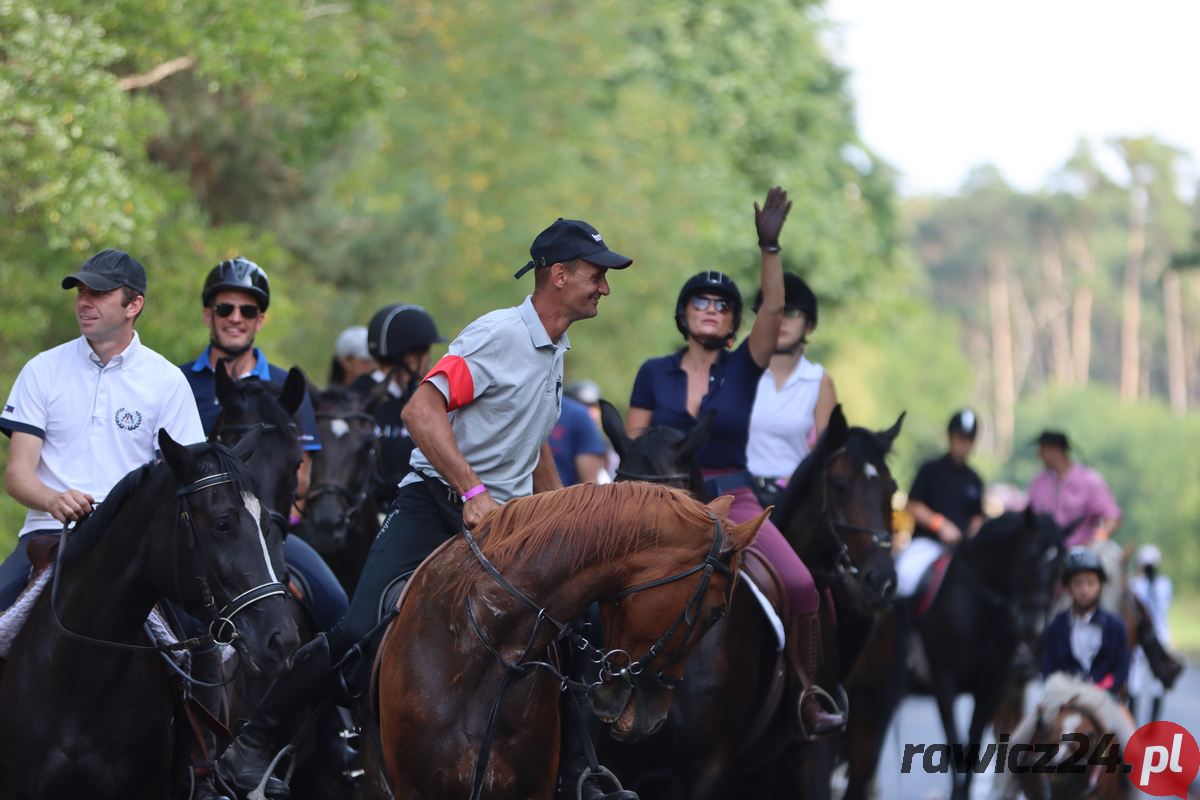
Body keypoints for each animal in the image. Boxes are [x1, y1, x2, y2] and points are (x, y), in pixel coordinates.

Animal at [840, 510, 1065, 796]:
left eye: (1059, 565)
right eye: (1028, 556)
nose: (1032, 625)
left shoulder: (992, 686)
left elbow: (976, 748)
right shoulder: (944, 682)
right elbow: (956, 749)